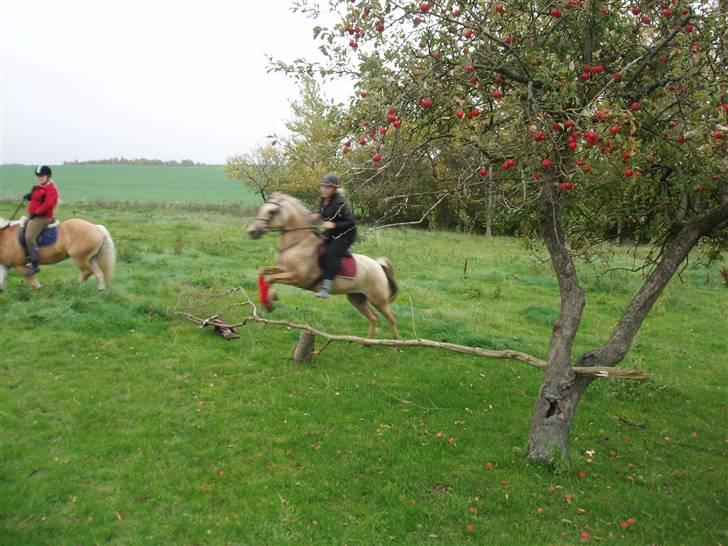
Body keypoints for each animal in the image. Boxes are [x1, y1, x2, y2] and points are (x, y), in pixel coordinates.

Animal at [247, 190, 400, 336]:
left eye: (272, 211)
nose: (252, 231)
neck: (297, 243)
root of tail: (378, 265)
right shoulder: (284, 270)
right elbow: (264, 273)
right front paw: (269, 299)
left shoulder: (298, 277)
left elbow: (270, 278)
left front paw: (269, 302)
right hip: (357, 298)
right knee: (373, 318)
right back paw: (365, 342)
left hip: (378, 300)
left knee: (392, 318)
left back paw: (395, 343)